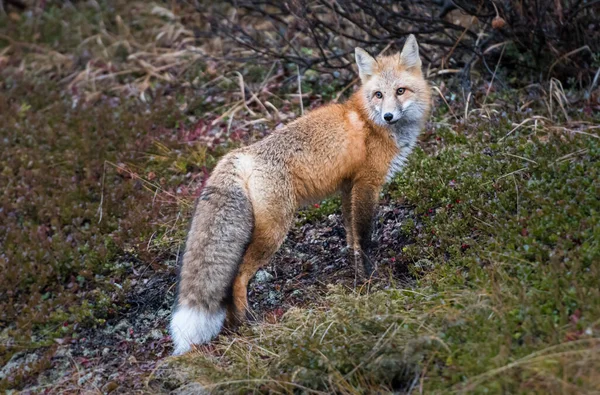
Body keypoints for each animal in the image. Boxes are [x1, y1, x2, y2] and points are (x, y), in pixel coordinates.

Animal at [170, 34, 432, 356]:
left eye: (400, 91)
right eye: (378, 95)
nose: (388, 115)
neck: (370, 123)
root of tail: (239, 153)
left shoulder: (348, 186)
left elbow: (351, 235)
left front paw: (354, 271)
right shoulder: (367, 184)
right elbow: (365, 237)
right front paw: (373, 279)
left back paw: (234, 323)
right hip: (275, 230)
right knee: (237, 277)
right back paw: (247, 321)